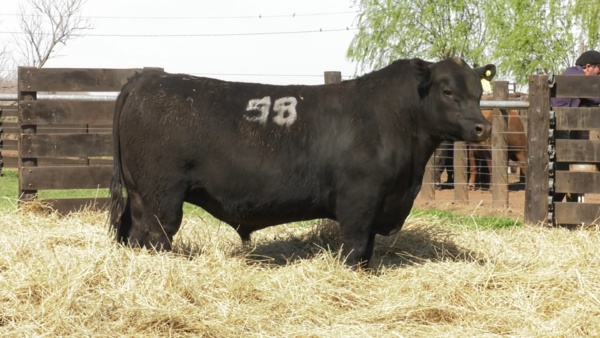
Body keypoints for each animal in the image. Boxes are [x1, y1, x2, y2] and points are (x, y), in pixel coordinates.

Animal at [110, 58, 494, 270]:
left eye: (479, 91)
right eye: (447, 91)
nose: (483, 127)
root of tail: (146, 79)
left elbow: (367, 252)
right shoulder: (359, 199)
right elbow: (355, 249)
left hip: (139, 195)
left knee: (131, 234)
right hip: (161, 197)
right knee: (155, 236)